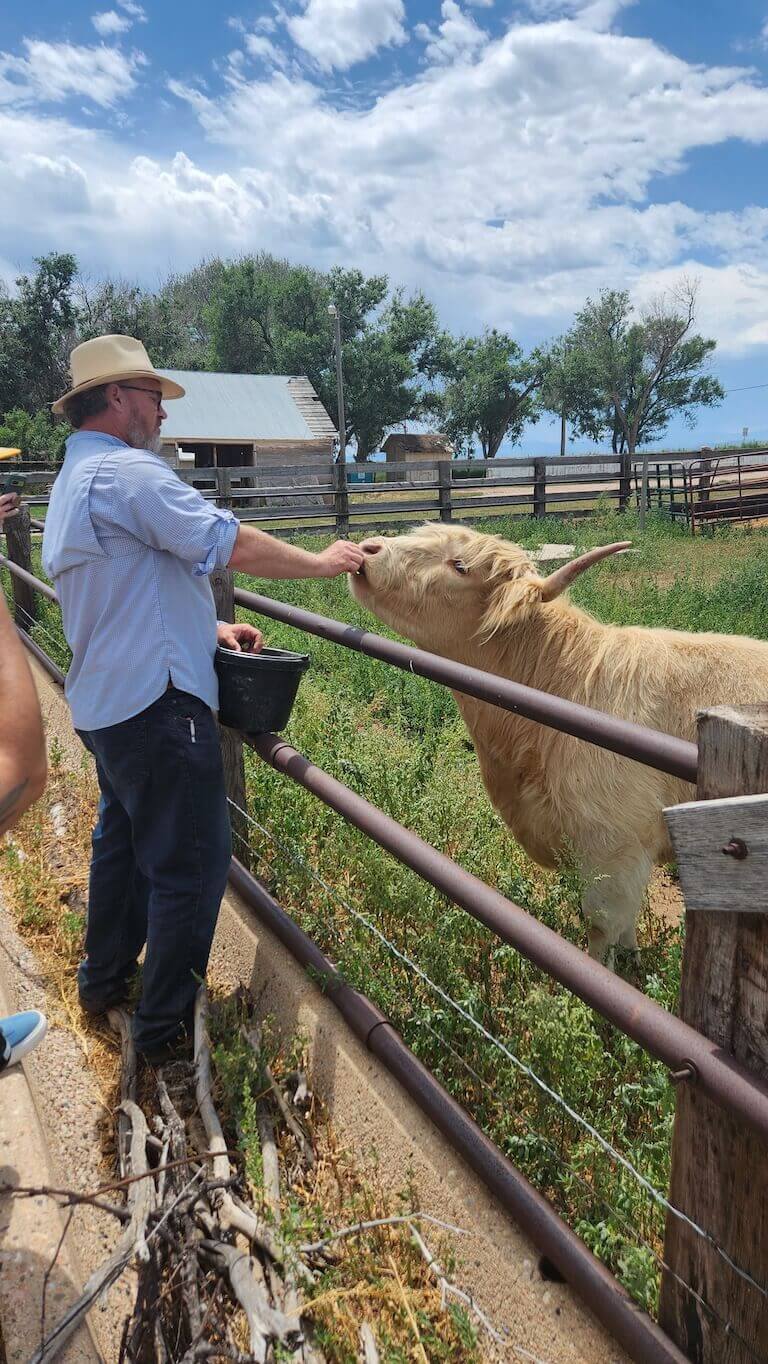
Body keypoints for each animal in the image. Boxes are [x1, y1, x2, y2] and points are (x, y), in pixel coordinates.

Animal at [348, 523, 768, 962]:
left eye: (459, 564)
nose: (368, 548)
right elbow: (627, 926)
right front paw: (633, 957)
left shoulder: (614, 849)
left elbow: (601, 930)